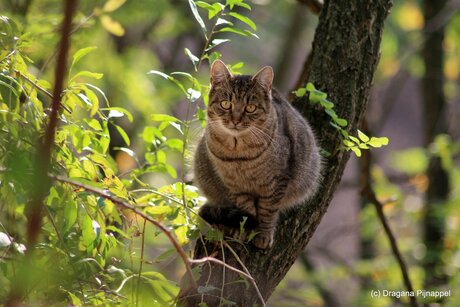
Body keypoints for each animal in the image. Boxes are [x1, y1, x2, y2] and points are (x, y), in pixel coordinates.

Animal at [193, 60, 320, 250]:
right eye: (226, 104)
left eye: (250, 108)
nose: (236, 120)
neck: (239, 155)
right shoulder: (234, 187)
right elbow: (247, 211)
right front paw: (247, 229)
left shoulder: (275, 183)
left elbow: (268, 211)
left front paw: (263, 234)